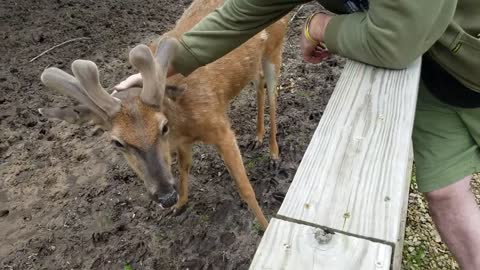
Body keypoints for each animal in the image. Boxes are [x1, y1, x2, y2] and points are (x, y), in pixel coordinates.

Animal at [39, 0, 286, 230]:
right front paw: (180, 204)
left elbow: (245, 188)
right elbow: (184, 167)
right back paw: (257, 137)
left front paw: (264, 228)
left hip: (275, 48)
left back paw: (274, 154)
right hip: (256, 63)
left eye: (163, 126)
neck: (182, 123)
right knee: (259, 83)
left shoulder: (221, 129)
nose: (166, 197)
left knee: (273, 95)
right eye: (117, 142)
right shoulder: (182, 143)